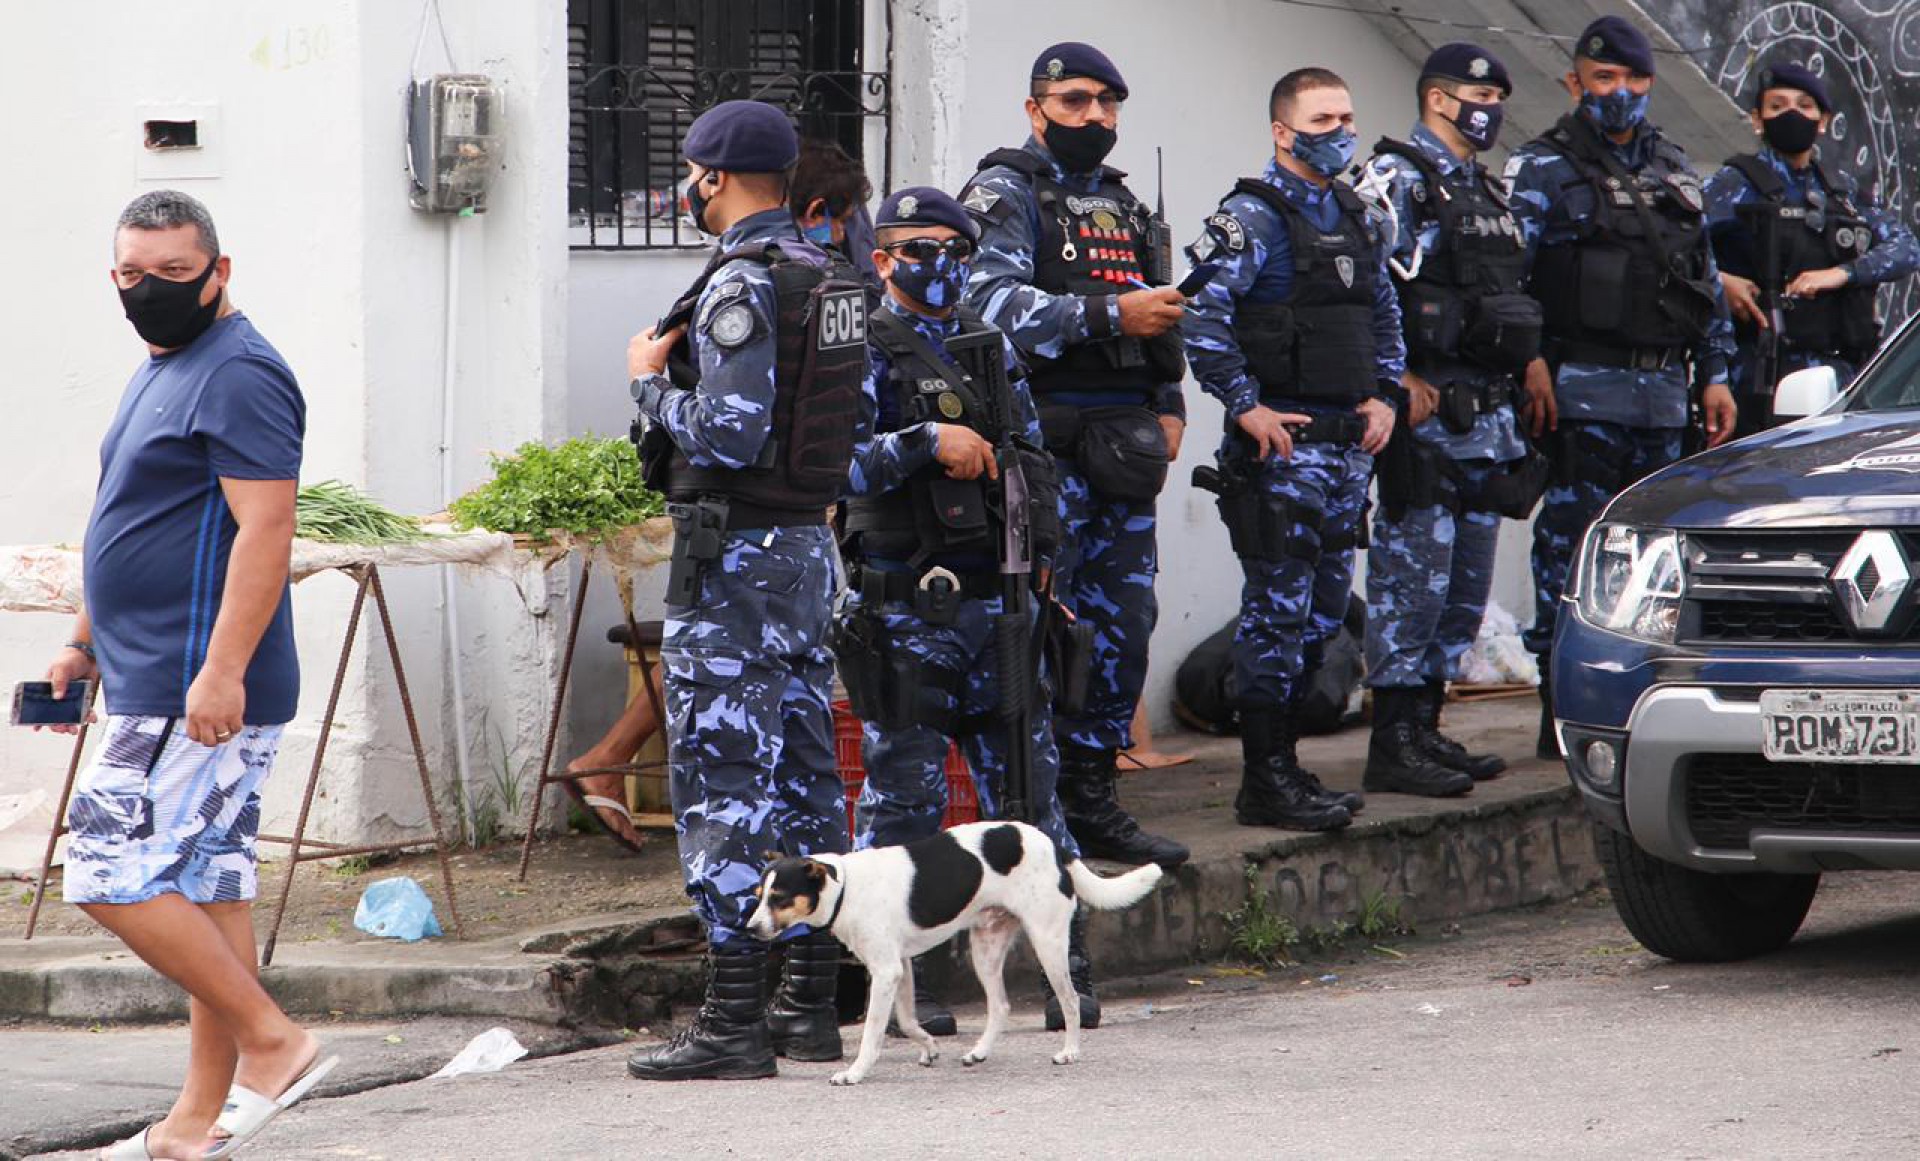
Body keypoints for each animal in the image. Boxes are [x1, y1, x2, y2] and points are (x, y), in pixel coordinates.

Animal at [744, 821, 1167, 1082]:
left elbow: (873, 1032)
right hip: (986, 949)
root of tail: (1054, 844)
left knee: (1071, 1001)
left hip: (1048, 941)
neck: (845, 887)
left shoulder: (886, 971)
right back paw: (979, 1052)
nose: (749, 929)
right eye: (758, 895)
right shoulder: (900, 967)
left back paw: (1070, 1052)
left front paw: (855, 1072)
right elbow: (908, 1020)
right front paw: (930, 1048)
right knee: (1001, 1005)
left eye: (780, 898)